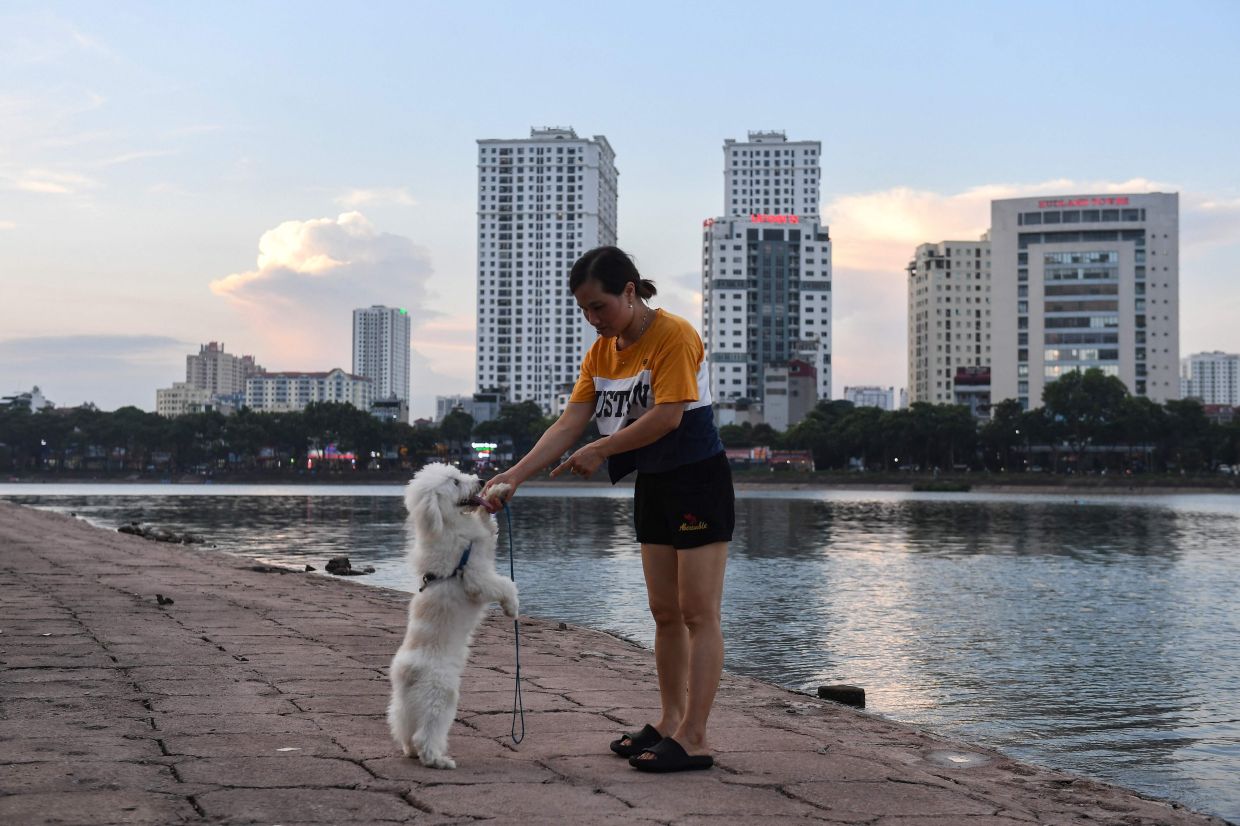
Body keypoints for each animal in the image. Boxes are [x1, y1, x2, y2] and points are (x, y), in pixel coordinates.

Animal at [384, 463, 515, 763]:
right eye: (454, 482)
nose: (481, 480)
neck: (446, 524)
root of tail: (406, 671)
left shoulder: (481, 545)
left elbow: (486, 522)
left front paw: (499, 490)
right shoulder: (476, 576)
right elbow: (503, 584)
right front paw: (512, 606)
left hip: (405, 706)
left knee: (404, 729)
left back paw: (411, 751)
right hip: (441, 696)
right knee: (425, 734)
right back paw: (436, 759)